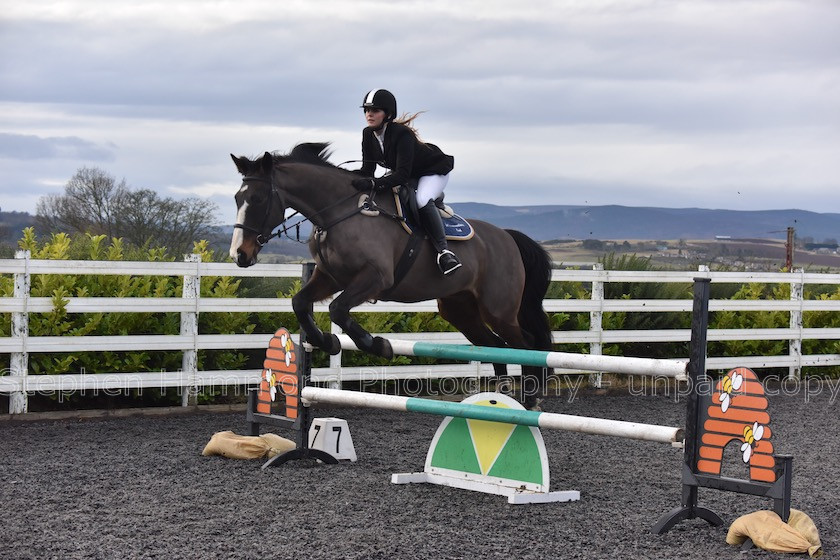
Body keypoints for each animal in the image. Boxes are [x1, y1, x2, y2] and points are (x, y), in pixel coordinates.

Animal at [230, 143, 556, 406]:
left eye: (258, 199)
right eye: (236, 198)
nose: (239, 255)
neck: (337, 213)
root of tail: (508, 237)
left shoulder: (375, 278)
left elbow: (338, 309)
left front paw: (378, 345)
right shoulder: (330, 277)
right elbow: (300, 303)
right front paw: (328, 342)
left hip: (498, 309)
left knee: (525, 345)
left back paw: (531, 400)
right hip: (460, 309)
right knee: (496, 346)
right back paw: (498, 399)